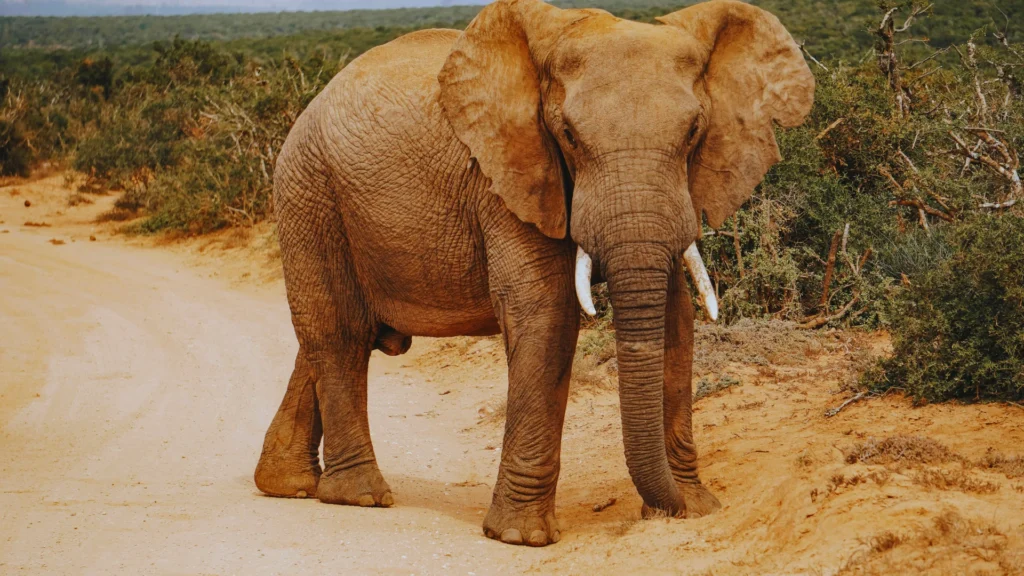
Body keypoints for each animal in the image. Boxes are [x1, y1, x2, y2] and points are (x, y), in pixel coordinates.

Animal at [254, 0, 814, 547]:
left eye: (694, 132)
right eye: (568, 136)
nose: (669, 507)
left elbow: (677, 316)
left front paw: (694, 507)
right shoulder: (507, 174)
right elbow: (546, 310)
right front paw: (521, 537)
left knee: (339, 336)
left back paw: (287, 485)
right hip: (308, 189)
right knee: (339, 333)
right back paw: (360, 496)